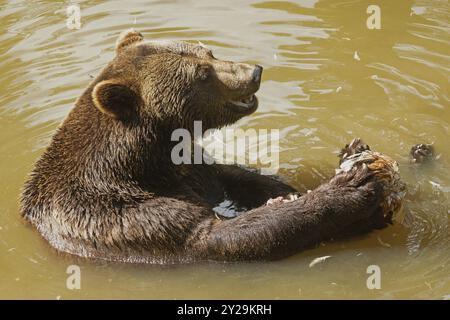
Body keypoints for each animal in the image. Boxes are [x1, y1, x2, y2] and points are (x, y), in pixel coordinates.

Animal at [20, 30, 394, 264]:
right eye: (201, 73)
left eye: (209, 52)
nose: (253, 71)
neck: (142, 159)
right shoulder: (121, 215)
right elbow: (220, 236)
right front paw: (350, 186)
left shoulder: (189, 165)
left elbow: (231, 176)